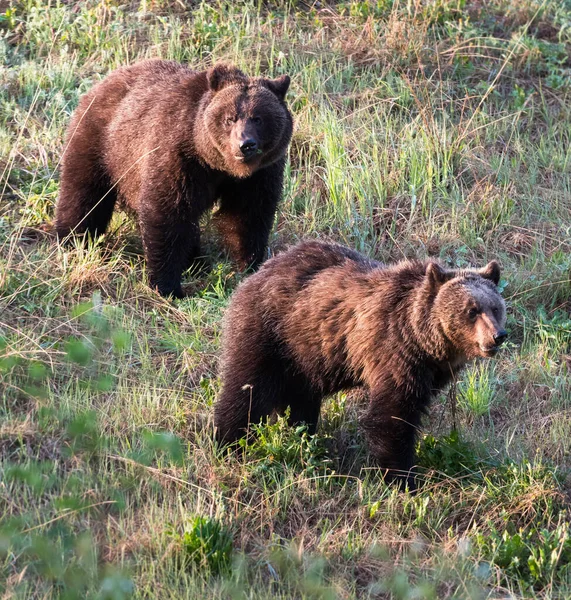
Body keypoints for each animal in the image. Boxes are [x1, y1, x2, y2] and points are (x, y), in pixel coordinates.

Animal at [55, 58, 292, 298]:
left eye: (258, 118)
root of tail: (106, 79)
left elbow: (248, 216)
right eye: (229, 118)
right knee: (84, 195)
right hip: (101, 142)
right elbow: (168, 215)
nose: (246, 144)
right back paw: (72, 240)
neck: (219, 165)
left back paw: (196, 261)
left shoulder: (260, 175)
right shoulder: (179, 158)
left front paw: (250, 265)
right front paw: (167, 285)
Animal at [216, 241, 510, 490]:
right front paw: (402, 478)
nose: (498, 336)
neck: (424, 342)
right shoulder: (394, 353)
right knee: (247, 390)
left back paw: (304, 436)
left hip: (305, 355)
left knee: (301, 401)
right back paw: (228, 444)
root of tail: (258, 272)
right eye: (471, 310)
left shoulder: (429, 372)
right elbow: (391, 417)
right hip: (271, 333)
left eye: (495, 307)